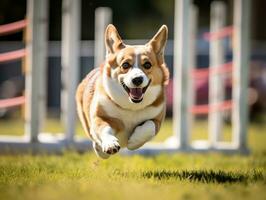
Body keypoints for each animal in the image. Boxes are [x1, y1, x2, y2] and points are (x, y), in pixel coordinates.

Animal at [75, 24, 168, 159]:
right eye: (125, 65)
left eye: (147, 65)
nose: (137, 79)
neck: (131, 107)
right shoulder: (100, 117)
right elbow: (104, 129)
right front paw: (110, 144)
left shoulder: (157, 120)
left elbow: (149, 126)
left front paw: (134, 141)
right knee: (93, 135)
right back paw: (100, 149)